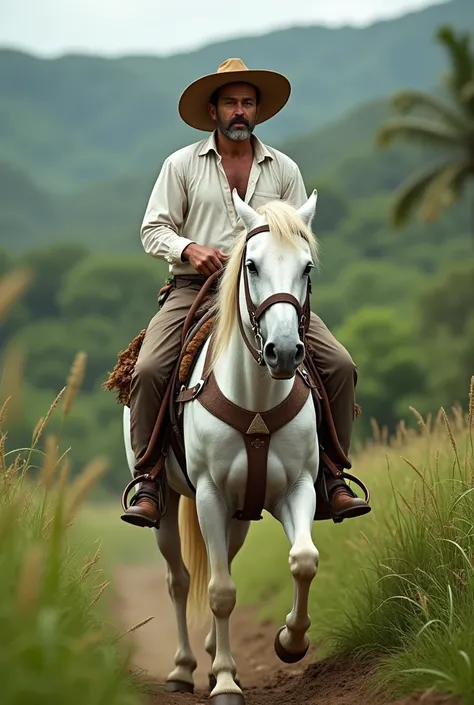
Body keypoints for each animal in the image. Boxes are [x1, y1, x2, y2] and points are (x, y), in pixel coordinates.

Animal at [124, 188, 320, 704]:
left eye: (307, 267)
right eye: (251, 264)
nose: (284, 351)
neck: (255, 403)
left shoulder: (297, 489)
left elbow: (303, 561)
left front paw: (290, 642)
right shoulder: (209, 496)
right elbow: (219, 592)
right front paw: (228, 682)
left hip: (240, 514)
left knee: (224, 561)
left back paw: (212, 658)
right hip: (171, 503)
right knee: (180, 580)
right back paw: (184, 668)